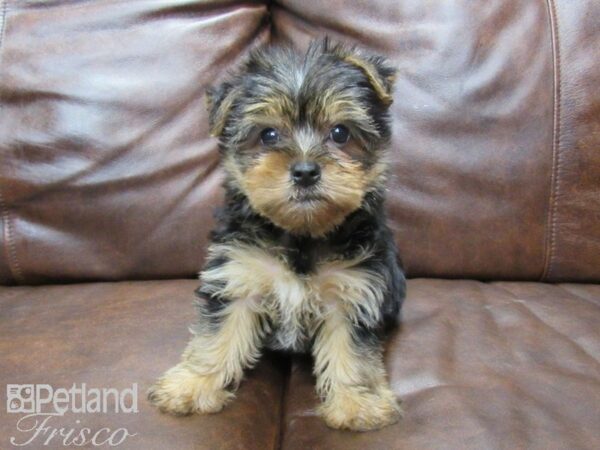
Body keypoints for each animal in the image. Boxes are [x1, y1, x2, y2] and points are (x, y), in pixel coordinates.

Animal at [148, 38, 406, 432]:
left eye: (340, 133)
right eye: (268, 135)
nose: (305, 171)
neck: (302, 233)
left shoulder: (353, 289)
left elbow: (352, 352)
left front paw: (357, 403)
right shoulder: (238, 275)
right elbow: (217, 336)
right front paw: (193, 384)